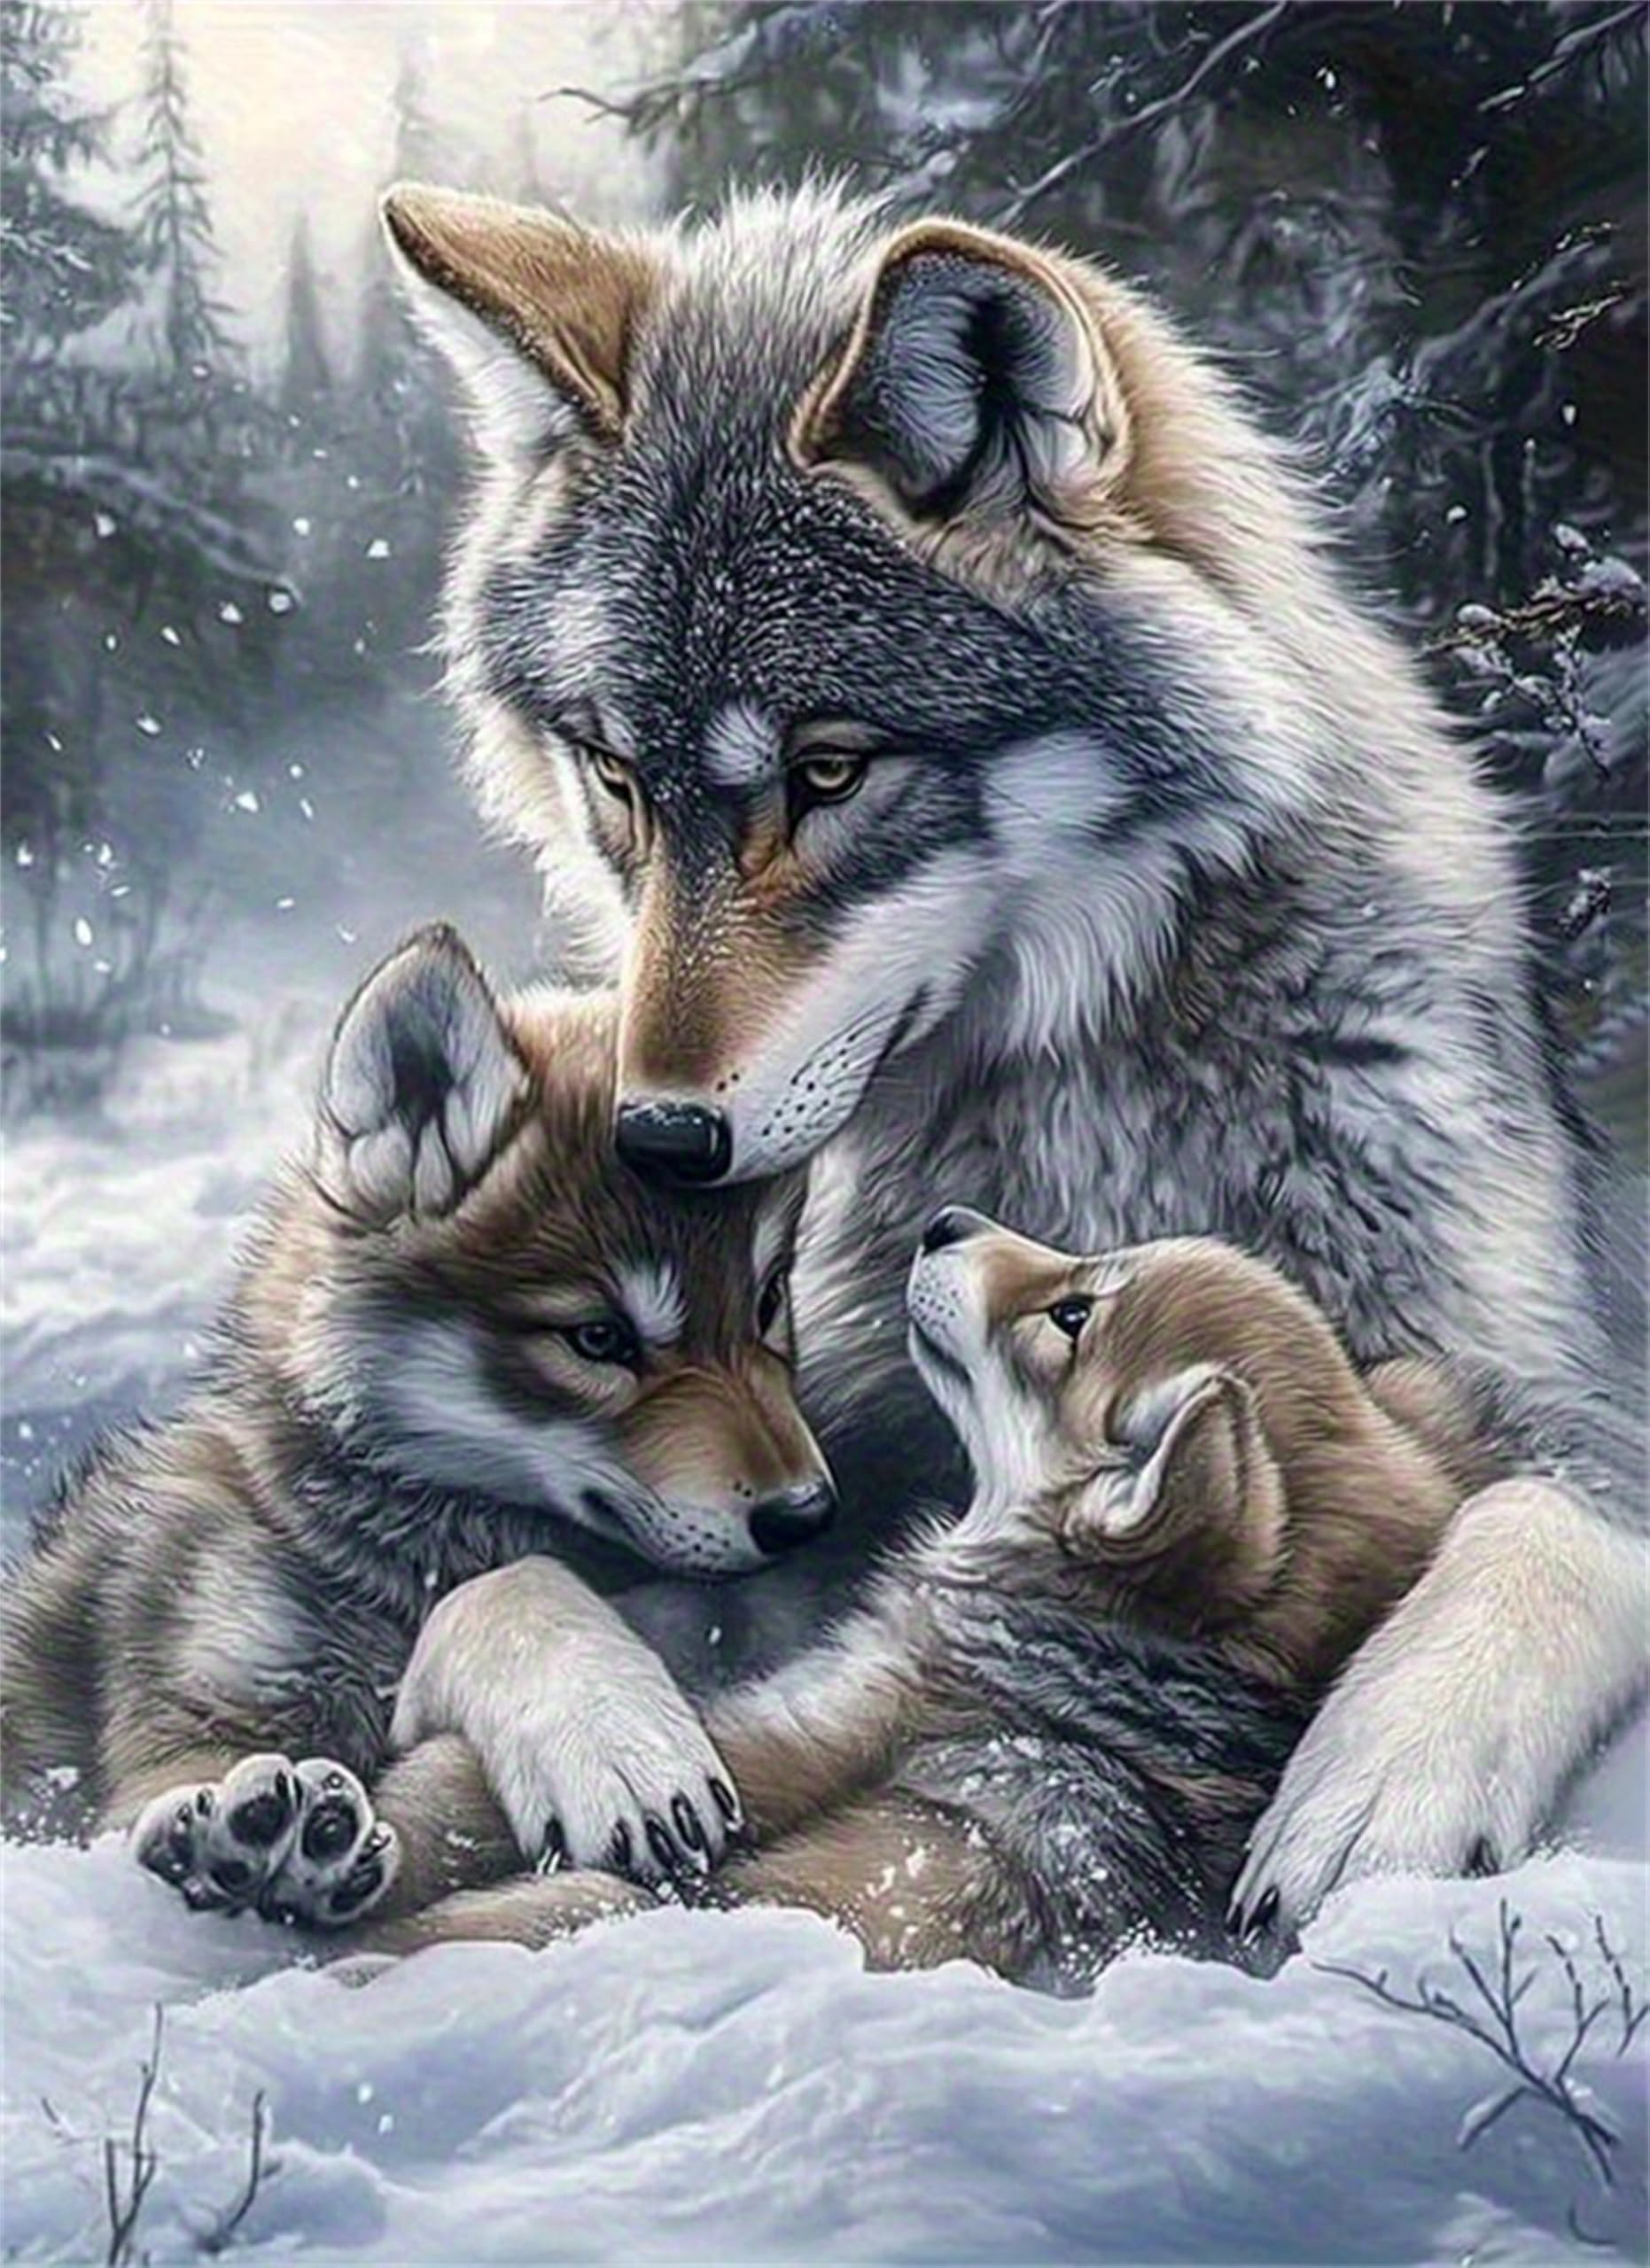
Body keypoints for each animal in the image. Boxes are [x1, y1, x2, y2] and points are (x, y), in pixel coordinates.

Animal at [0, 924, 828, 1925]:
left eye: (766, 1302)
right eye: (599, 1339)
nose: (808, 1516)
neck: (389, 1567)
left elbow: (512, 1589)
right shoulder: (177, 1732)